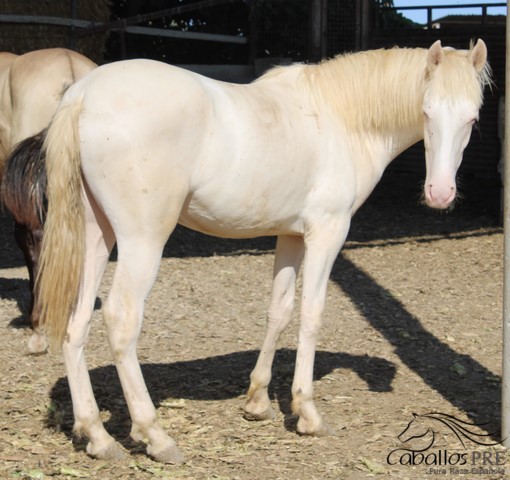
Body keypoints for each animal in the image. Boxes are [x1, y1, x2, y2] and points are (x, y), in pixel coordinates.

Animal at [24, 39, 490, 464]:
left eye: (472, 117)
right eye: (427, 112)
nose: (440, 193)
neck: (339, 118)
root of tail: (84, 93)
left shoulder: (291, 237)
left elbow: (279, 311)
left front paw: (258, 402)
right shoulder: (327, 233)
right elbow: (311, 314)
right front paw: (307, 413)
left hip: (96, 236)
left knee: (76, 323)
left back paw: (97, 436)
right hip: (142, 240)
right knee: (121, 319)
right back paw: (154, 435)